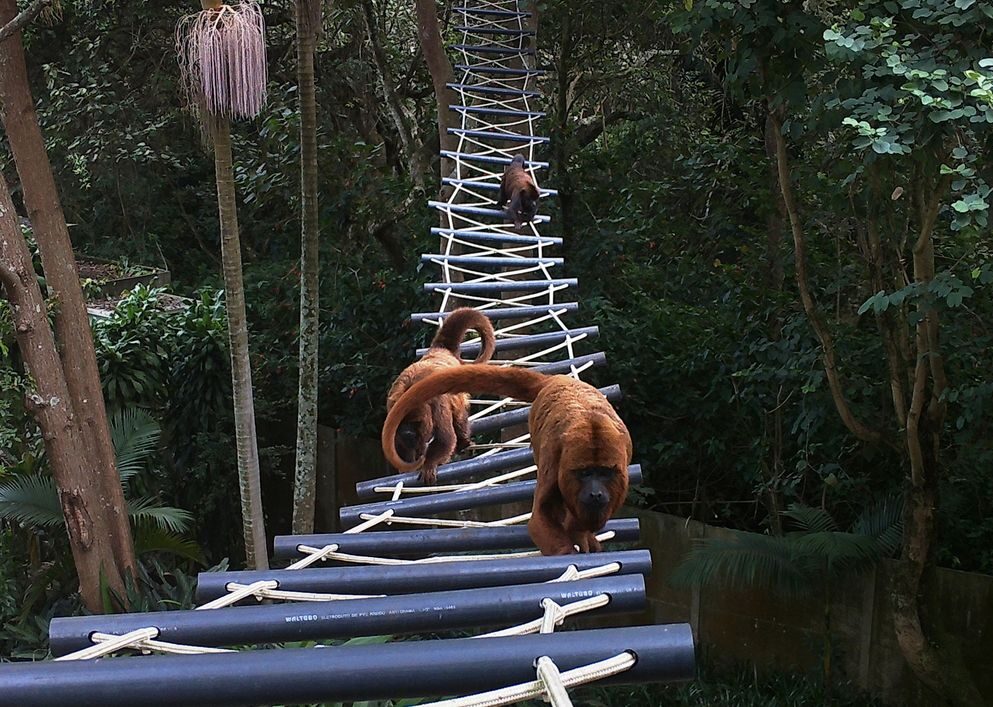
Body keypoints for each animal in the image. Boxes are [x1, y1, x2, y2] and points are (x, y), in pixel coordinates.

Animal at [381, 365, 632, 555]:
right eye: (585, 473)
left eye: (604, 473)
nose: (596, 493)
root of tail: (557, 379)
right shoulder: (554, 456)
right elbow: (539, 520)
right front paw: (570, 549)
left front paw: (582, 534)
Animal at [385, 308, 497, 485]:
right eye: (403, 425)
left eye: (414, 424)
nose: (408, 433)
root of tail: (440, 350)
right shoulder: (391, 410)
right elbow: (396, 443)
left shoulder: (437, 401)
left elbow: (445, 438)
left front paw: (429, 465)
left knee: (459, 415)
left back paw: (463, 441)